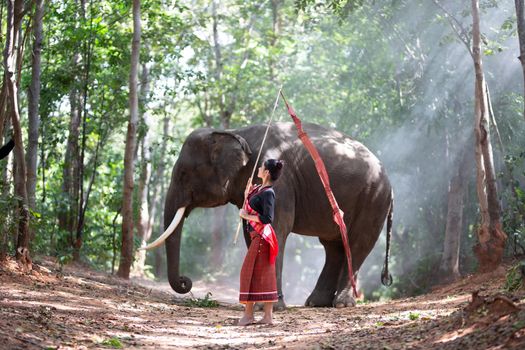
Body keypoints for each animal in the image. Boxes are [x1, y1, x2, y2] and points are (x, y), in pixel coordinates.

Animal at [142, 121, 388, 308]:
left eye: (183, 174)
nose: (186, 281)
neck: (235, 132)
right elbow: (251, 231)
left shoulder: (280, 183)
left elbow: (277, 226)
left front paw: (269, 306)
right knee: (333, 247)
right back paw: (316, 303)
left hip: (373, 200)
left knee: (357, 244)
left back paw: (342, 304)